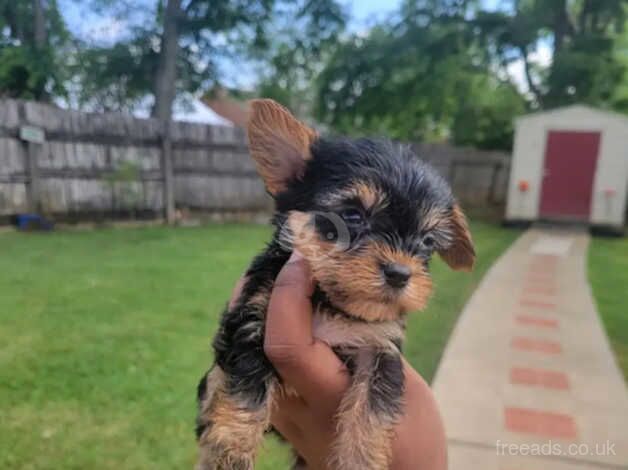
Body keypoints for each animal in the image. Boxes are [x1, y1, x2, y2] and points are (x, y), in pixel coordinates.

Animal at [196, 100, 476, 470]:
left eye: (427, 241)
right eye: (353, 216)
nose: (400, 273)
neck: (329, 301)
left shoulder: (379, 349)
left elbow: (369, 411)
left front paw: (359, 461)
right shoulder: (254, 320)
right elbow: (246, 386)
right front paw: (229, 452)